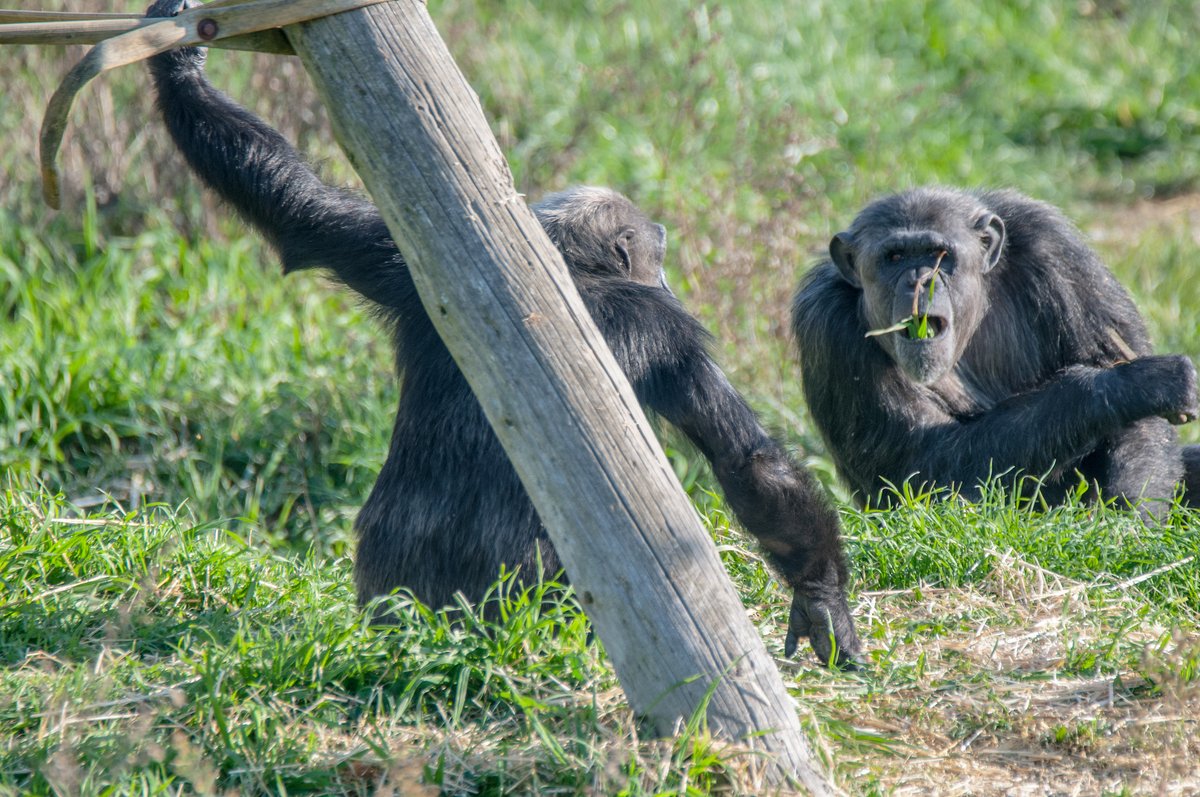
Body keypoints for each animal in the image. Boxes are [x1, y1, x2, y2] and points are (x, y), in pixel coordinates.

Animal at [147, 0, 864, 667]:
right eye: (655, 252)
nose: (666, 271)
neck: (567, 267)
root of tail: (446, 626)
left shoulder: (395, 250)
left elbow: (296, 204)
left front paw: (178, 59)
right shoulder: (670, 331)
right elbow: (748, 460)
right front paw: (823, 600)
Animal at [792, 184, 1195, 511]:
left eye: (938, 254)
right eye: (894, 257)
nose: (919, 280)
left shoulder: (1061, 253)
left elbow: (1140, 429)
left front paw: (1131, 516)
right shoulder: (827, 327)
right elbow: (923, 466)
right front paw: (1133, 385)